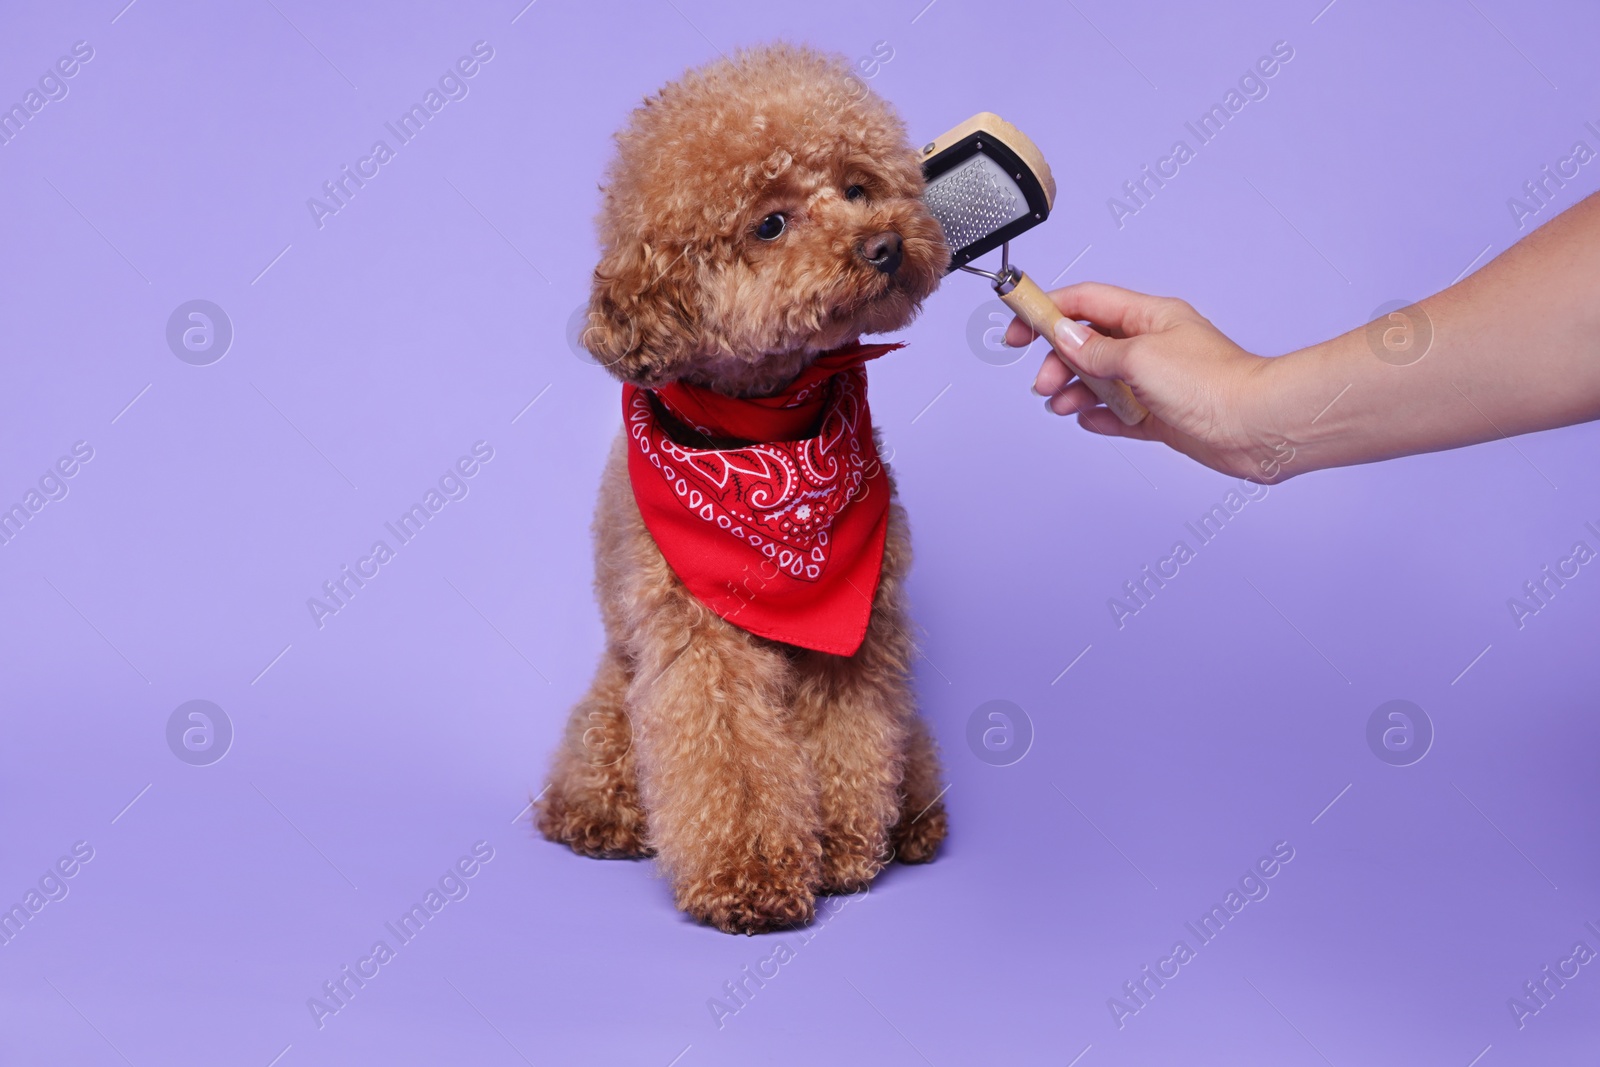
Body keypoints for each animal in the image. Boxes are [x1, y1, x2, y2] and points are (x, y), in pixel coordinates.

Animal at [537, 41, 940, 934]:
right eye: (770, 224)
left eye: (857, 186)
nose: (885, 244)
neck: (768, 434)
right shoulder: (699, 638)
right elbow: (730, 757)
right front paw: (751, 873)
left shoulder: (858, 630)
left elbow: (850, 737)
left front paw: (843, 847)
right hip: (619, 691)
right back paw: (598, 815)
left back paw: (915, 820)